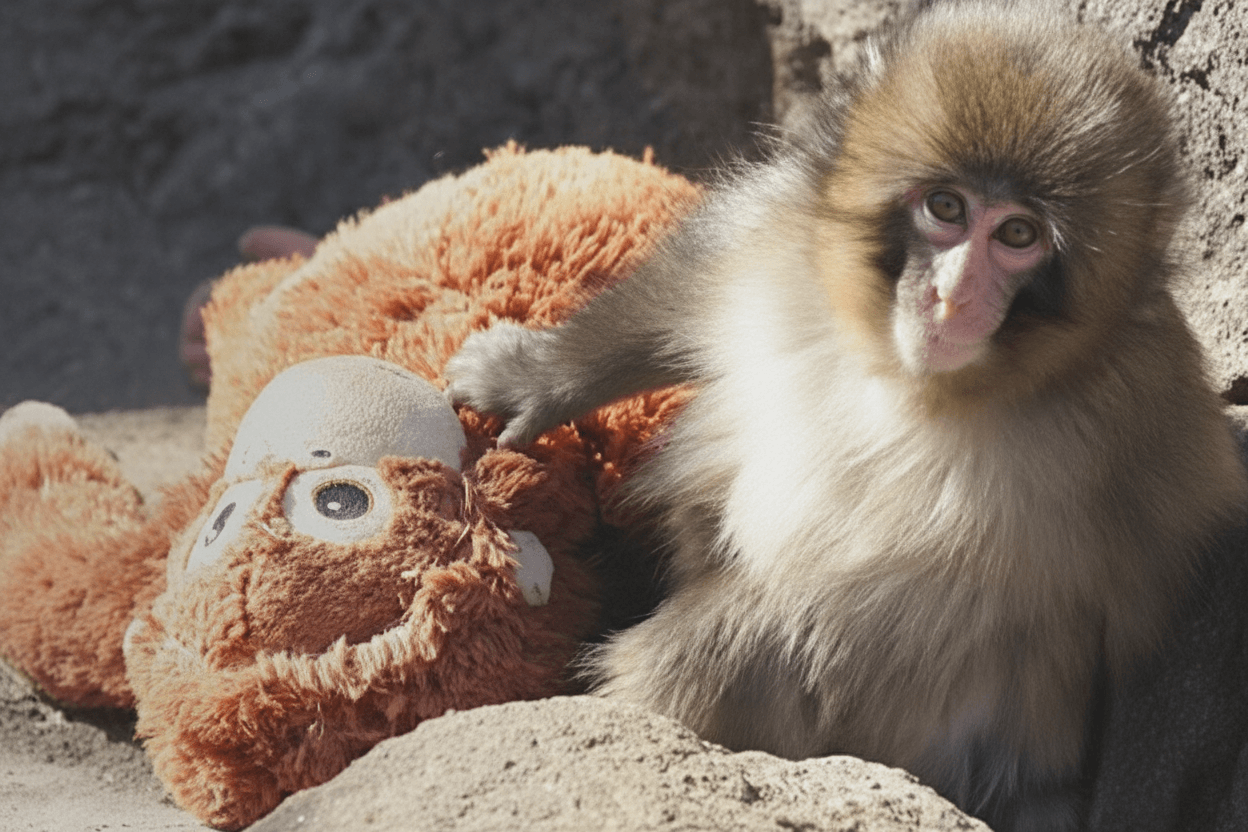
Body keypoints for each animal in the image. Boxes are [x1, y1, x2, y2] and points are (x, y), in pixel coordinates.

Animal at [444, 2, 1248, 829]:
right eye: (947, 208)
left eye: (1018, 235)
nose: (952, 296)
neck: (912, 379)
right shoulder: (784, 233)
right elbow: (694, 282)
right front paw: (533, 379)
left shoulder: (1148, 410)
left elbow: (1195, 603)